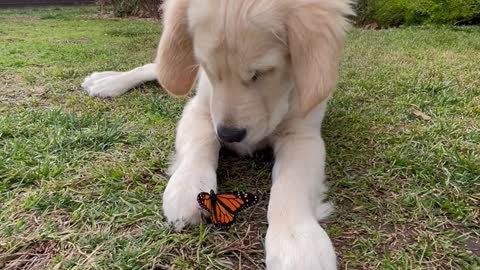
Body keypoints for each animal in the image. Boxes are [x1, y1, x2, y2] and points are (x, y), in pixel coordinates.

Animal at [81, 0, 352, 268]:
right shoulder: (199, 109)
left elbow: (292, 182)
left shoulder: (303, 135)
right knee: (156, 67)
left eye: (261, 73)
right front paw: (187, 186)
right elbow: (201, 142)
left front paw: (297, 243)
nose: (229, 135)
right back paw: (106, 82)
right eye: (208, 69)